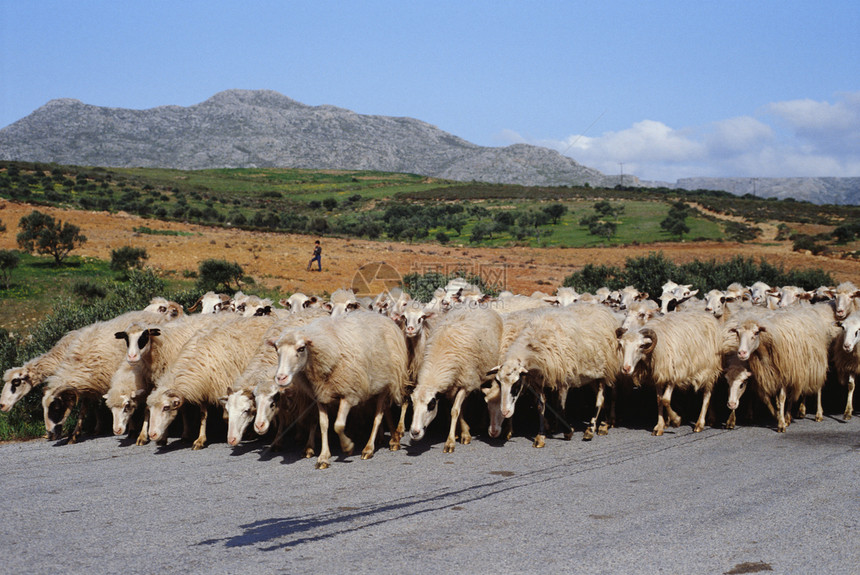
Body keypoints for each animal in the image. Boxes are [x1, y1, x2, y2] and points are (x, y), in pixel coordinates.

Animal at [146, 316, 278, 450]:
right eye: (149, 409)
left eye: (166, 407)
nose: (152, 435)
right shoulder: (203, 390)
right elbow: (203, 415)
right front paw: (200, 439)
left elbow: (226, 416)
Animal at [274, 312, 412, 470]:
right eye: (277, 351)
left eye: (301, 348)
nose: (281, 378)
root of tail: (384, 318)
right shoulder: (320, 396)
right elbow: (324, 425)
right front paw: (323, 457)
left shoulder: (349, 394)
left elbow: (338, 425)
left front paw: (347, 447)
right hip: (377, 387)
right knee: (385, 410)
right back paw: (394, 439)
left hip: (387, 381)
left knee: (378, 416)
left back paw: (369, 448)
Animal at [412, 308, 504, 452]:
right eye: (413, 404)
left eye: (431, 405)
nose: (414, 433)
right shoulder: (452, 386)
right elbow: (457, 409)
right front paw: (464, 433)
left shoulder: (465, 384)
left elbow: (455, 410)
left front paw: (450, 442)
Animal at [488, 306, 620, 446]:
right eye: (499, 383)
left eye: (517, 384)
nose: (505, 412)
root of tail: (603, 308)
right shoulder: (537, 382)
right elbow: (540, 406)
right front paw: (540, 436)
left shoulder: (564, 381)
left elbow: (560, 407)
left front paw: (568, 431)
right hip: (592, 376)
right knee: (601, 397)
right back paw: (602, 425)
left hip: (605, 370)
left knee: (601, 397)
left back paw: (594, 428)